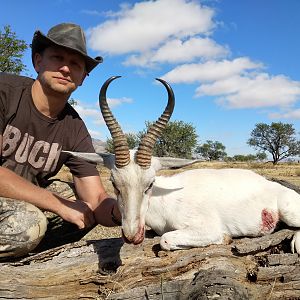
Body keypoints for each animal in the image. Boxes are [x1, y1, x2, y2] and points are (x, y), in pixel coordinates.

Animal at [65, 76, 300, 252]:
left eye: (150, 184)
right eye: (114, 184)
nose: (132, 236)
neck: (164, 199)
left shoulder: (206, 227)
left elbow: (165, 239)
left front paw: (226, 239)